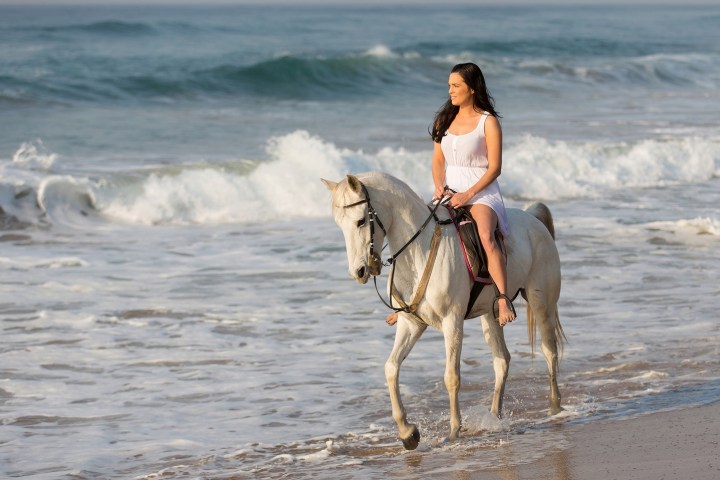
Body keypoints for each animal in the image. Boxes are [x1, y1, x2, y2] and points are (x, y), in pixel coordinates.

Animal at [324, 172, 564, 450]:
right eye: (340, 225)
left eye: (361, 221)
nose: (359, 272)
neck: (419, 250)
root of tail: (533, 219)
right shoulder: (411, 324)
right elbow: (391, 368)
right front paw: (408, 433)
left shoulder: (452, 322)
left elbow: (451, 377)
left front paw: (453, 432)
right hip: (490, 315)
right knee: (502, 360)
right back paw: (494, 416)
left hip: (541, 303)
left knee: (549, 351)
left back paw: (555, 408)